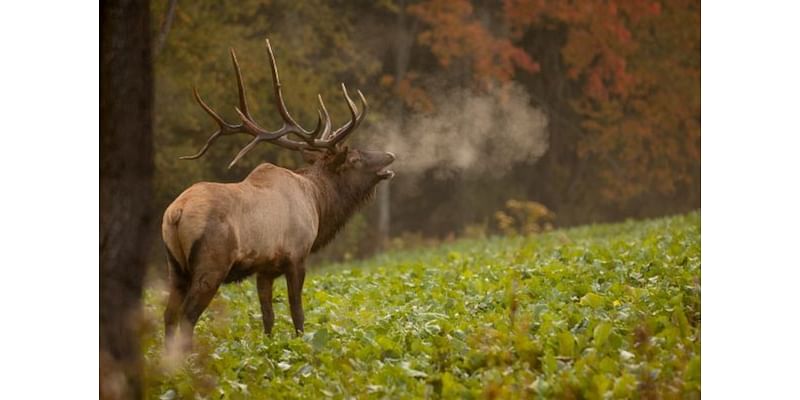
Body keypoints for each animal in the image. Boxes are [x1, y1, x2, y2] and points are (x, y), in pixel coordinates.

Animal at [161, 39, 396, 348]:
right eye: (355, 158)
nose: (390, 155)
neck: (318, 203)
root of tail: (176, 213)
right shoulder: (297, 255)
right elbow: (297, 313)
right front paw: (301, 346)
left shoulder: (265, 268)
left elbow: (268, 317)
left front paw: (270, 349)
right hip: (210, 264)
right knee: (188, 316)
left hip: (175, 266)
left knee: (168, 315)